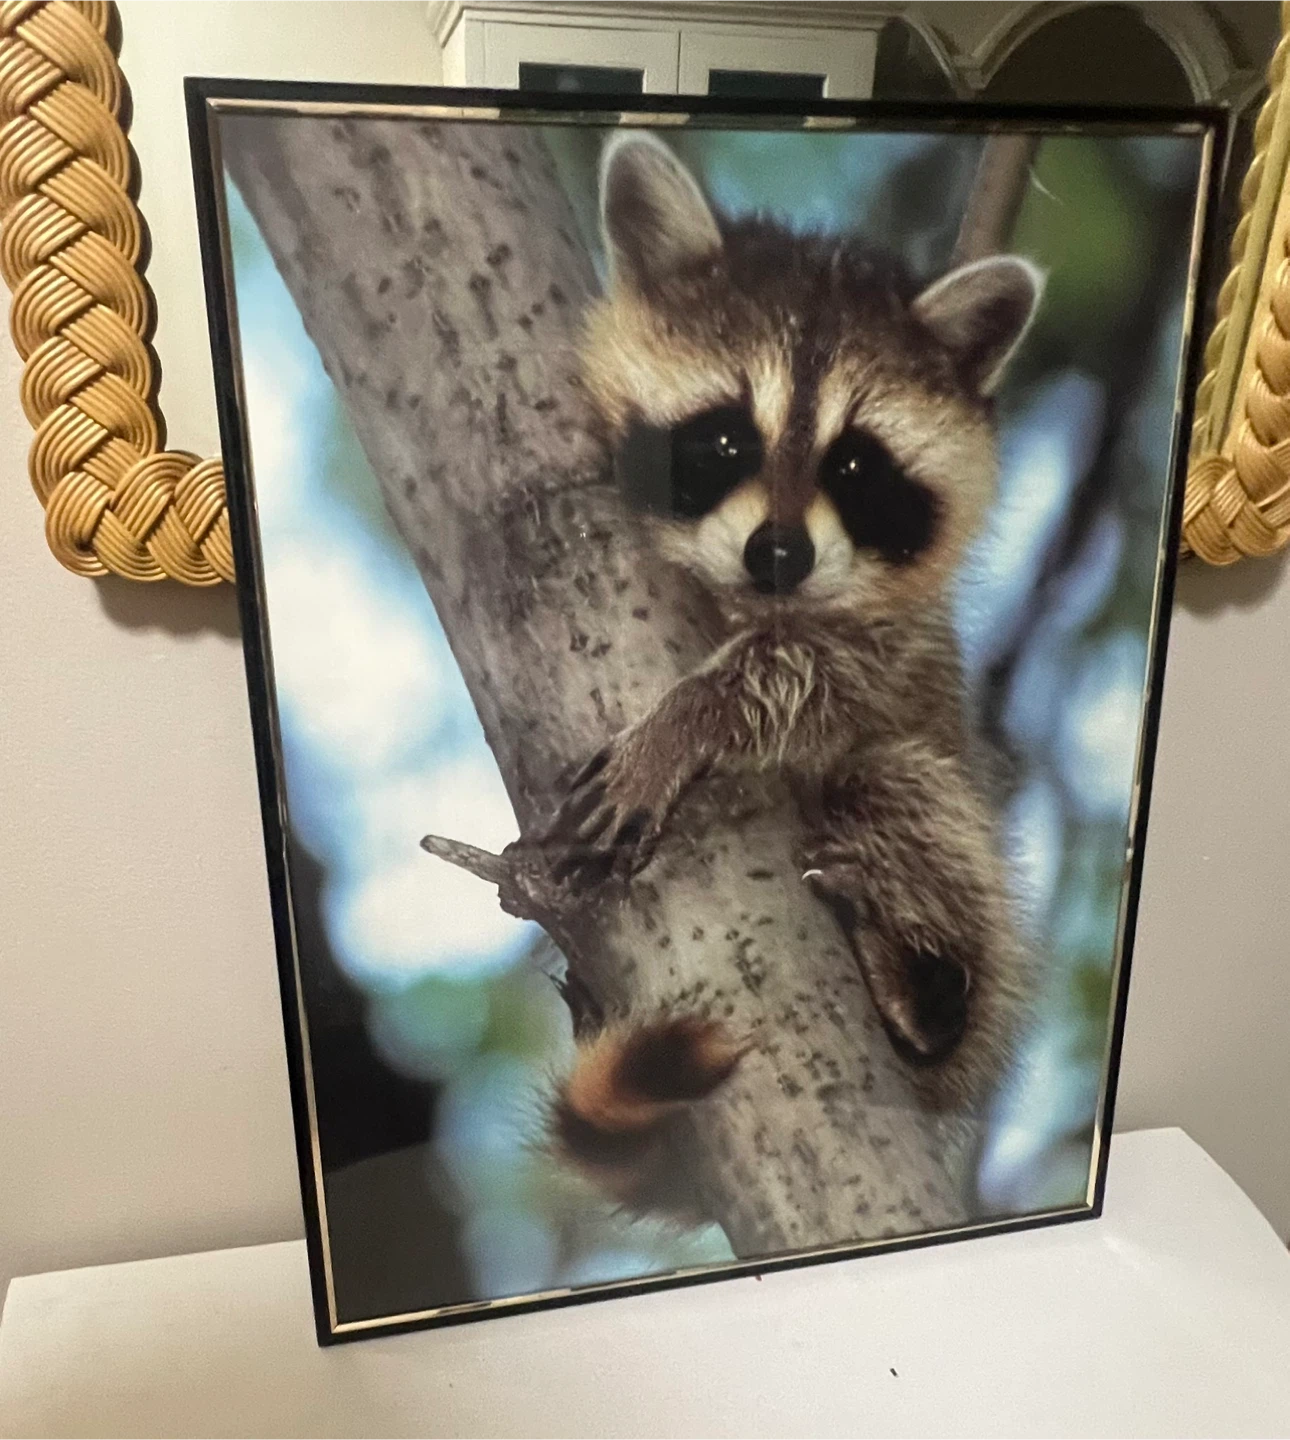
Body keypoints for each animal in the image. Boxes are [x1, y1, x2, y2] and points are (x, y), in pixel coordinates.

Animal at [541, 132, 1041, 1208]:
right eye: (727, 435)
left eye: (855, 466)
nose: (779, 553)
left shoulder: (897, 642)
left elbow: (815, 680)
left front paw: (692, 716)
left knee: (904, 787)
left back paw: (929, 991)